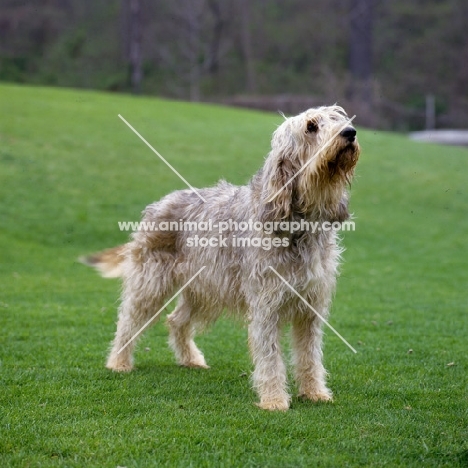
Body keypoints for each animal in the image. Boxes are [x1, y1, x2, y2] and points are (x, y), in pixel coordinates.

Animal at [83, 106, 358, 410]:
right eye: (311, 126)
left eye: (338, 118)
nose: (350, 132)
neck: (299, 224)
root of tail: (160, 202)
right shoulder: (266, 306)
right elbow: (270, 357)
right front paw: (274, 400)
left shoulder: (311, 306)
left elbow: (310, 355)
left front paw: (314, 392)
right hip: (152, 284)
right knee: (128, 321)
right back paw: (118, 362)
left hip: (203, 289)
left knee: (176, 320)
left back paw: (190, 359)